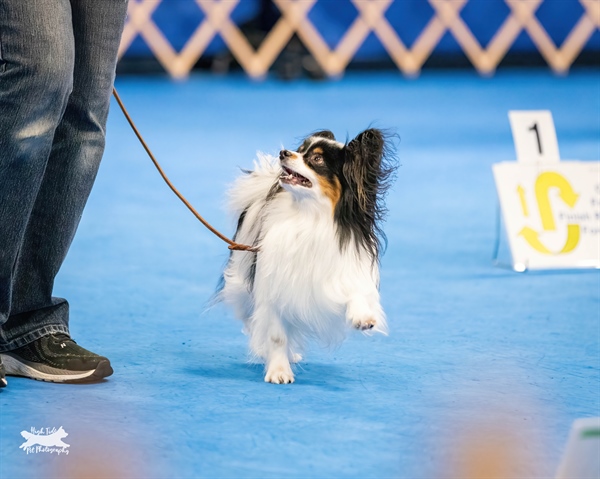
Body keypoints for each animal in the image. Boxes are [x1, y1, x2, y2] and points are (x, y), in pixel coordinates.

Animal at [218, 128, 396, 386]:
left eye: (317, 159)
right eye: (300, 150)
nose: (283, 153)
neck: (309, 216)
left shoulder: (344, 271)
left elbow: (356, 291)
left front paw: (363, 317)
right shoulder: (274, 289)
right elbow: (276, 335)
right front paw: (279, 371)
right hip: (241, 286)